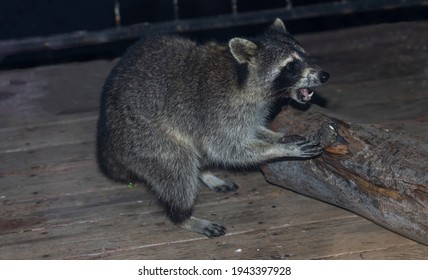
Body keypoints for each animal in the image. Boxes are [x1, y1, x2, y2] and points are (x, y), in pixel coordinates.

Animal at [97, 18, 330, 237]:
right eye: (290, 65)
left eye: (305, 56)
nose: (324, 75)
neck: (243, 78)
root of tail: (107, 138)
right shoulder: (217, 113)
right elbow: (225, 148)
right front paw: (281, 149)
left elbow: (251, 131)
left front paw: (279, 137)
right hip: (142, 137)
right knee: (178, 165)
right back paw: (183, 216)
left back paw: (205, 173)